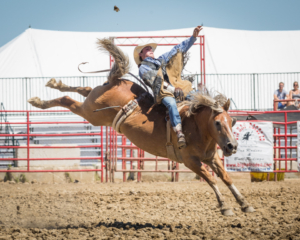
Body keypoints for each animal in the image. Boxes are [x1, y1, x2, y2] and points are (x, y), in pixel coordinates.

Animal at [27, 38, 253, 216]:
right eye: (217, 122)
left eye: (232, 121)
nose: (232, 146)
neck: (196, 127)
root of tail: (117, 82)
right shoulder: (190, 161)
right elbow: (211, 180)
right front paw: (225, 207)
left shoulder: (212, 157)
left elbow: (226, 177)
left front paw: (244, 203)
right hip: (92, 113)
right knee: (67, 100)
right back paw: (38, 101)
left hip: (94, 100)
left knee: (85, 88)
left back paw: (54, 84)